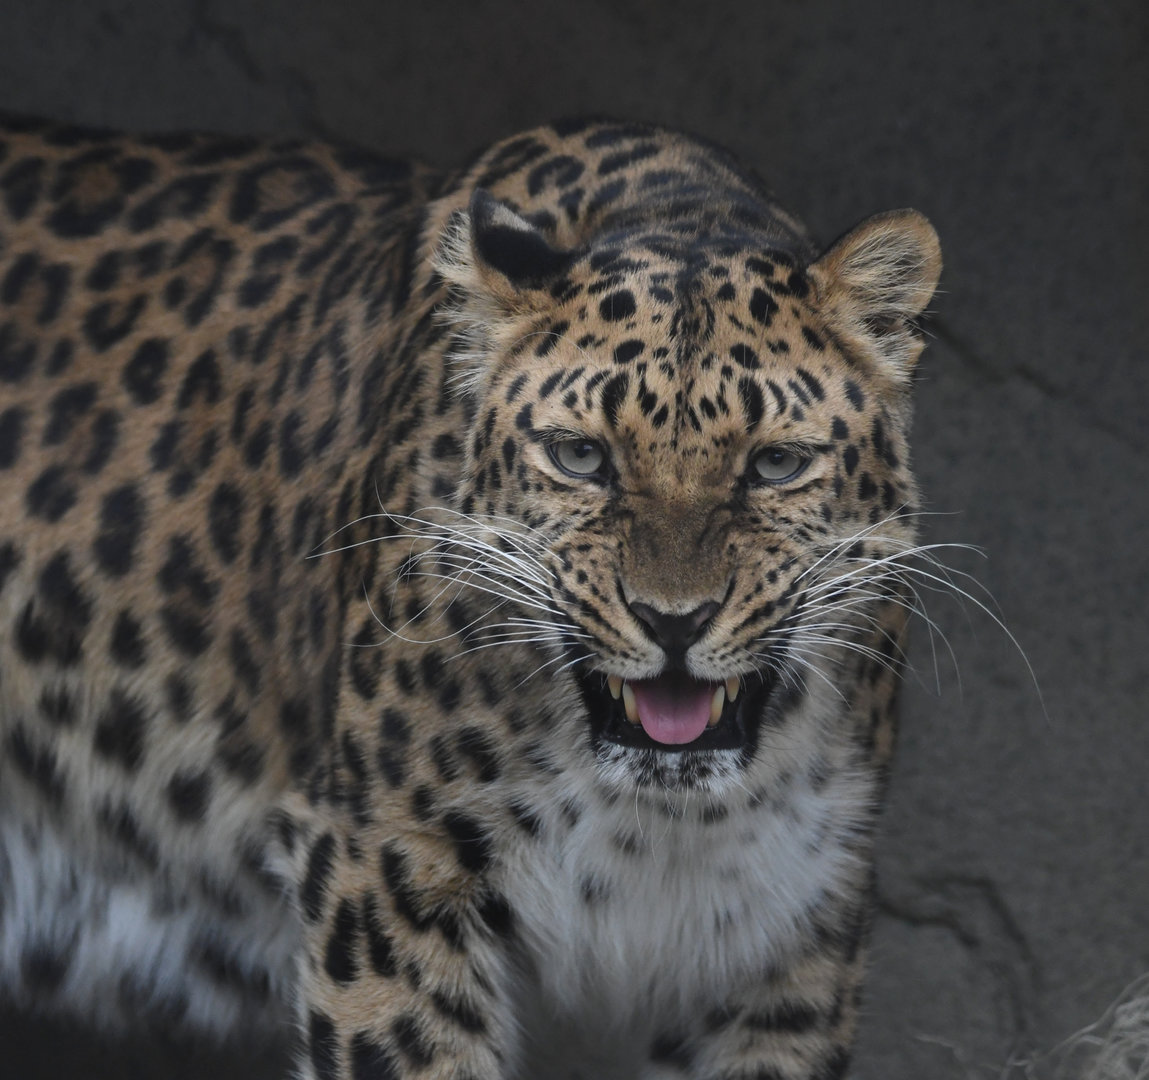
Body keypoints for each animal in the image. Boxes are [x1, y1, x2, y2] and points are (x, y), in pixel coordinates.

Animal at [0, 112, 941, 1080]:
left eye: (775, 464)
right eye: (580, 457)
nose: (671, 621)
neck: (660, 818)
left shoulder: (791, 941)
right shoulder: (385, 873)